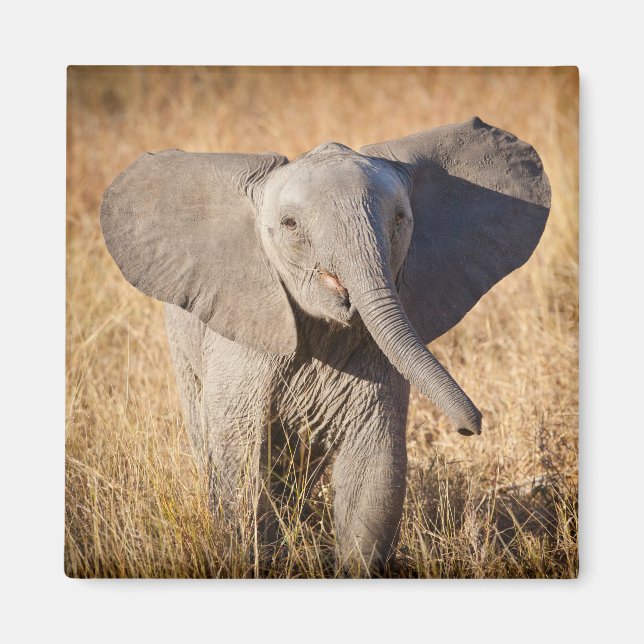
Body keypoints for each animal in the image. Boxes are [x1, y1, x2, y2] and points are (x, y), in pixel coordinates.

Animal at [100, 117, 550, 576]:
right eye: (290, 225)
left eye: (400, 218)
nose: (470, 427)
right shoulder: (242, 343)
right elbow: (240, 459)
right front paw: (257, 561)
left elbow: (373, 470)